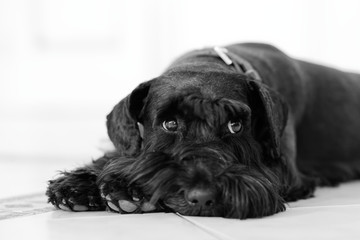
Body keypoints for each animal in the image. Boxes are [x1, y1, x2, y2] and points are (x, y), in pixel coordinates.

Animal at [45, 42, 360, 218]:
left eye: (235, 125)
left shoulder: (285, 168)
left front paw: (126, 191)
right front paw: (78, 186)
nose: (203, 198)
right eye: (170, 123)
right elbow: (121, 154)